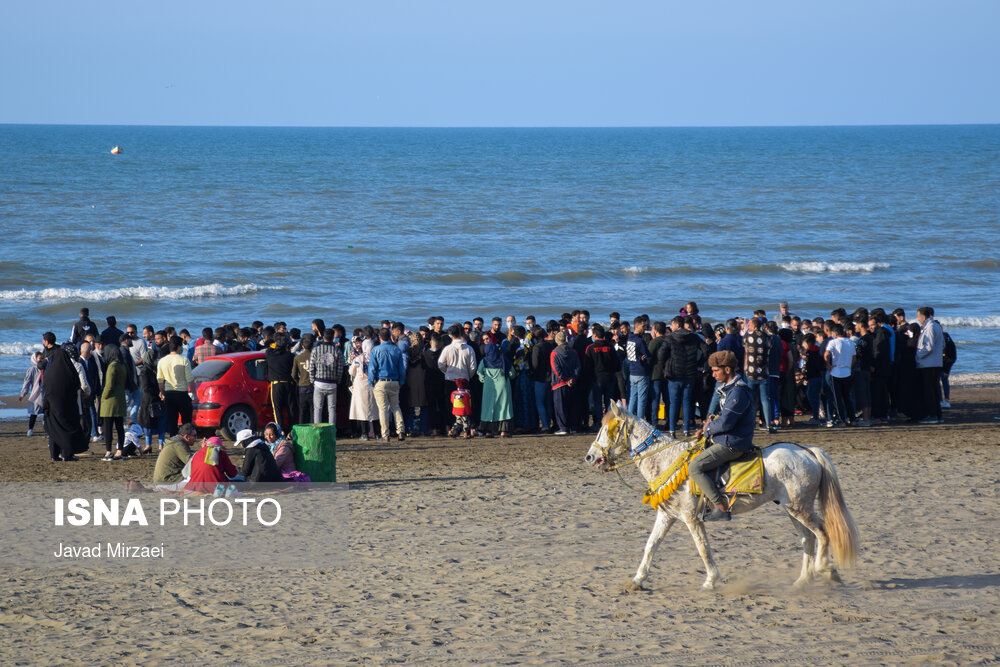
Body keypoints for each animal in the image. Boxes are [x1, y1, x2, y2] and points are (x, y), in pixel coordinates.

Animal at [584, 402, 860, 588]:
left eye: (607, 429)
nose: (590, 457)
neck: (666, 460)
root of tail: (806, 450)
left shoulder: (692, 518)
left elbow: (703, 548)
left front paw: (711, 580)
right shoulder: (667, 516)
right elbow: (651, 546)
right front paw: (638, 579)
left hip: (800, 508)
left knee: (822, 533)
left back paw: (825, 569)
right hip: (792, 509)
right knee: (808, 539)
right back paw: (803, 580)